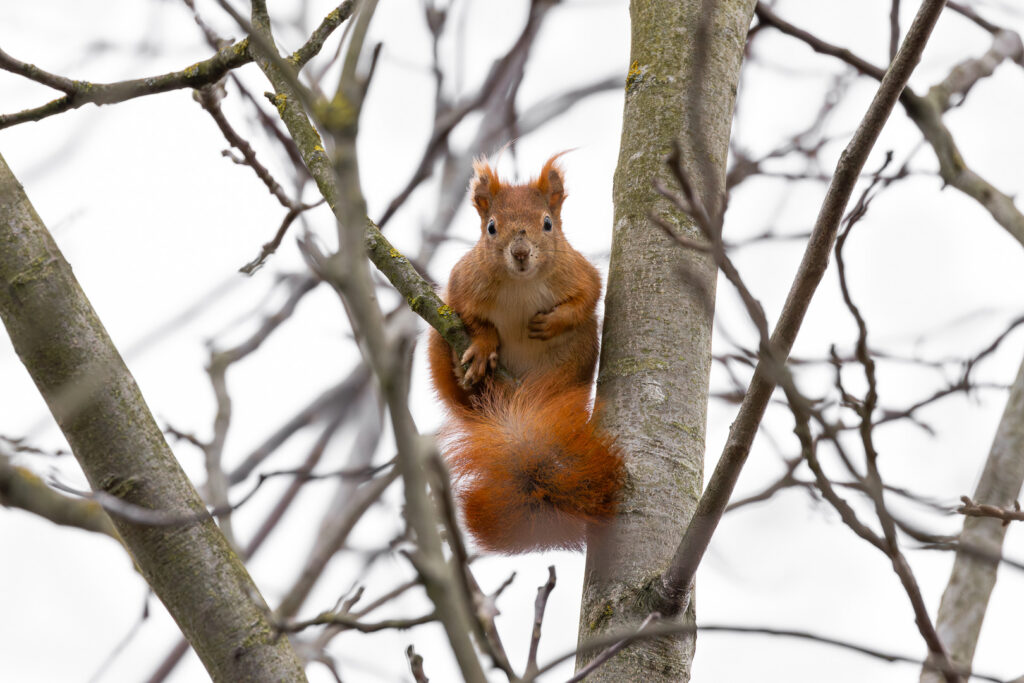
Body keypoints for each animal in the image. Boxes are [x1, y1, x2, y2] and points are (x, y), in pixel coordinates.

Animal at [427, 153, 624, 554]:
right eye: (491, 227)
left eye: (547, 223)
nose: (519, 253)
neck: (520, 283)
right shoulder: (461, 284)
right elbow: (474, 319)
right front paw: (484, 347)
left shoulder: (579, 273)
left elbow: (587, 299)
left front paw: (550, 323)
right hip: (440, 340)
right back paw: (466, 376)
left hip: (575, 361)